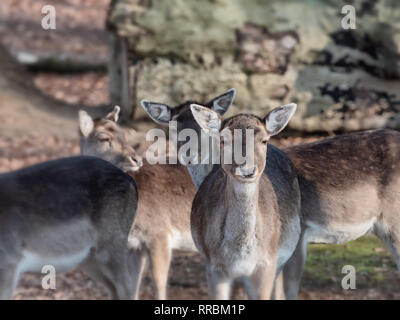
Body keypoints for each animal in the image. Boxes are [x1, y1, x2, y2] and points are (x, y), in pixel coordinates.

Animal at [0, 156, 138, 300]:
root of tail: (131, 181)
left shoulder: (9, 262)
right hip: (90, 258)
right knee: (114, 288)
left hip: (112, 245)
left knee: (126, 287)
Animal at [78, 89, 236, 298]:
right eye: (104, 139)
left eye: (124, 135)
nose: (135, 159)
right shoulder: (134, 246)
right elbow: (132, 287)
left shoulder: (160, 234)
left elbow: (159, 283)